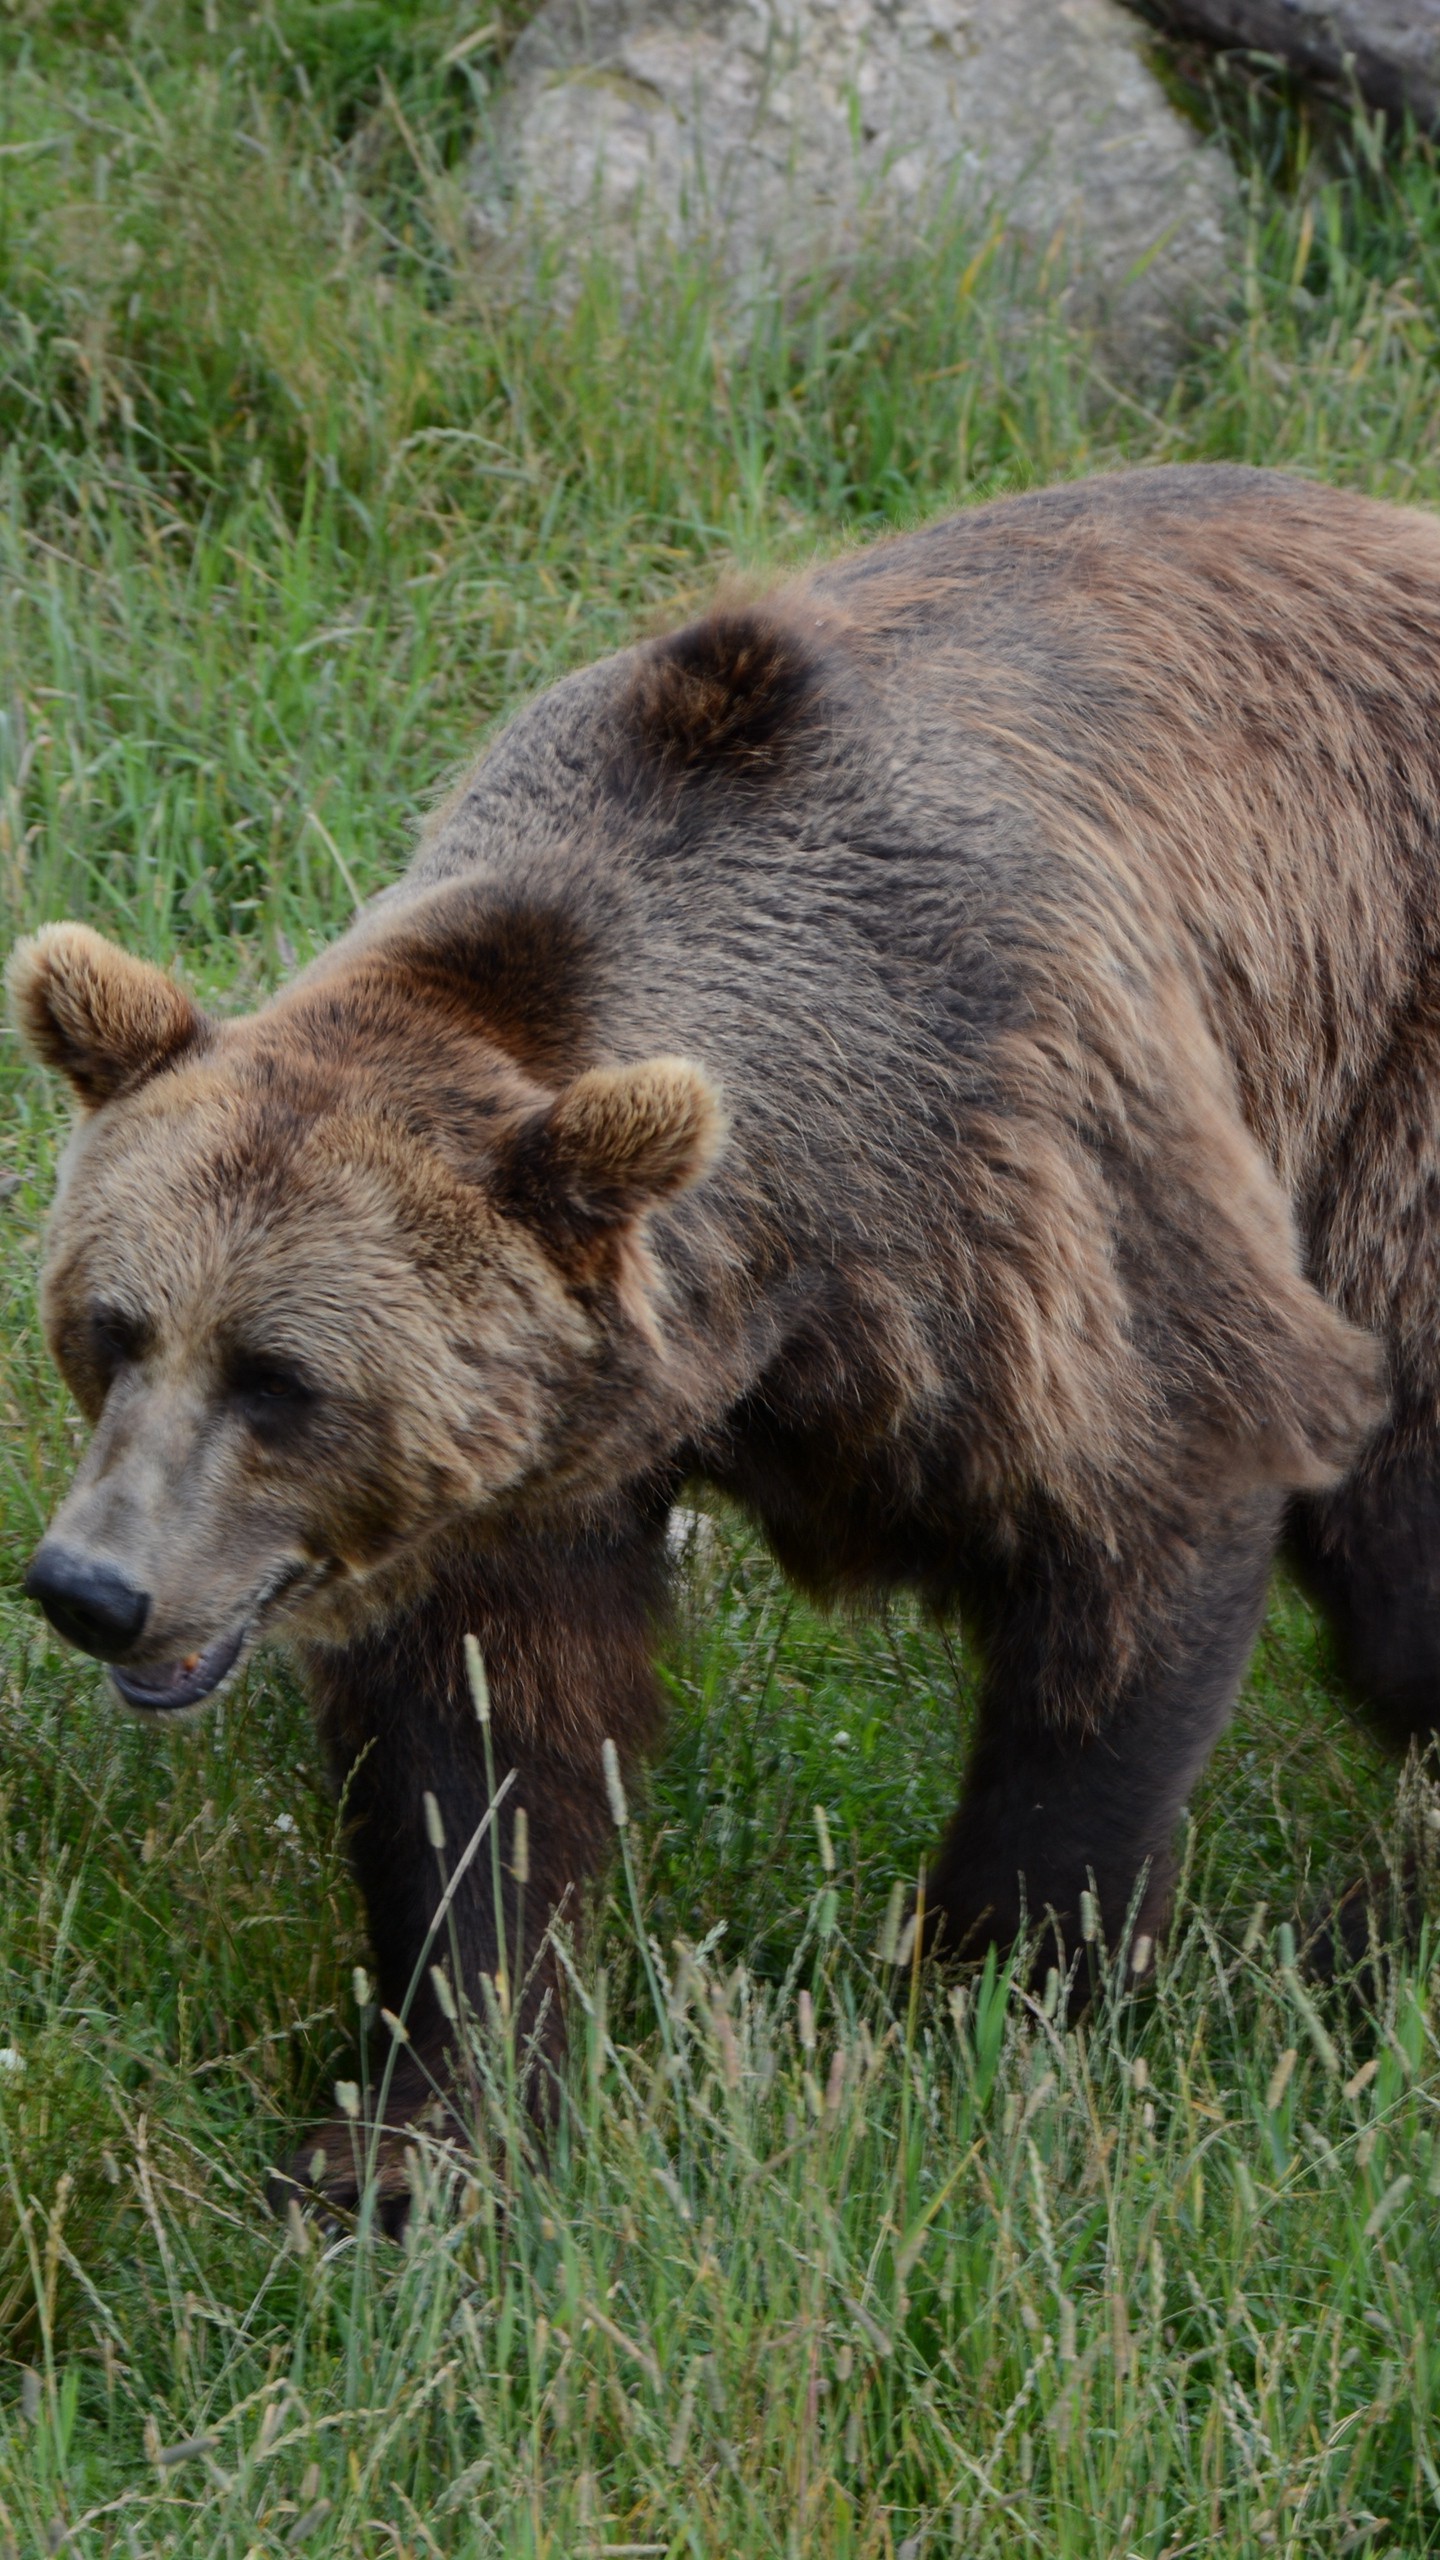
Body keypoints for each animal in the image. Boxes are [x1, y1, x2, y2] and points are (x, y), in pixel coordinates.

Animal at [11, 471, 1434, 2211]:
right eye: (111, 1329)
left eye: (280, 1379)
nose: (93, 1587)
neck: (775, 1280)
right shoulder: (537, 1457)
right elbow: (484, 1756)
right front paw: (409, 2142)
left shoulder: (1028, 1200)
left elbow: (1140, 1540)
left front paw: (991, 2033)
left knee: (1409, 1563)